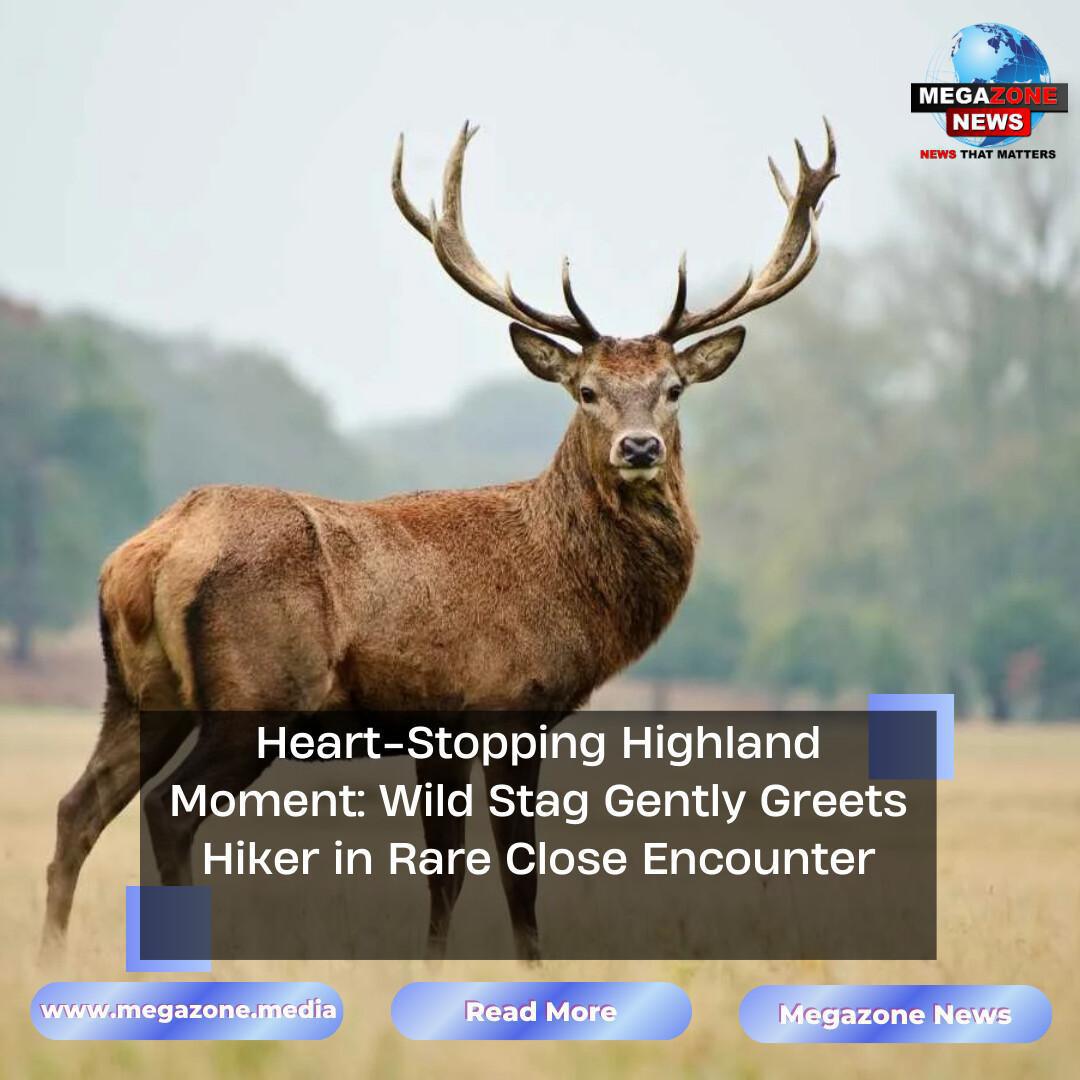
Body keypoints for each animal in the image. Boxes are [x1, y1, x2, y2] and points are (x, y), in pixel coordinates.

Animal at [42, 120, 837, 962]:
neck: (568, 585)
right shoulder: (507, 705)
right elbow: (517, 874)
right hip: (255, 694)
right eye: (586, 391)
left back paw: (49, 957)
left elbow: (444, 873)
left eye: (673, 389)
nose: (641, 447)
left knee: (78, 808)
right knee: (169, 807)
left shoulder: (437, 734)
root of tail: (150, 553)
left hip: (137, 691)